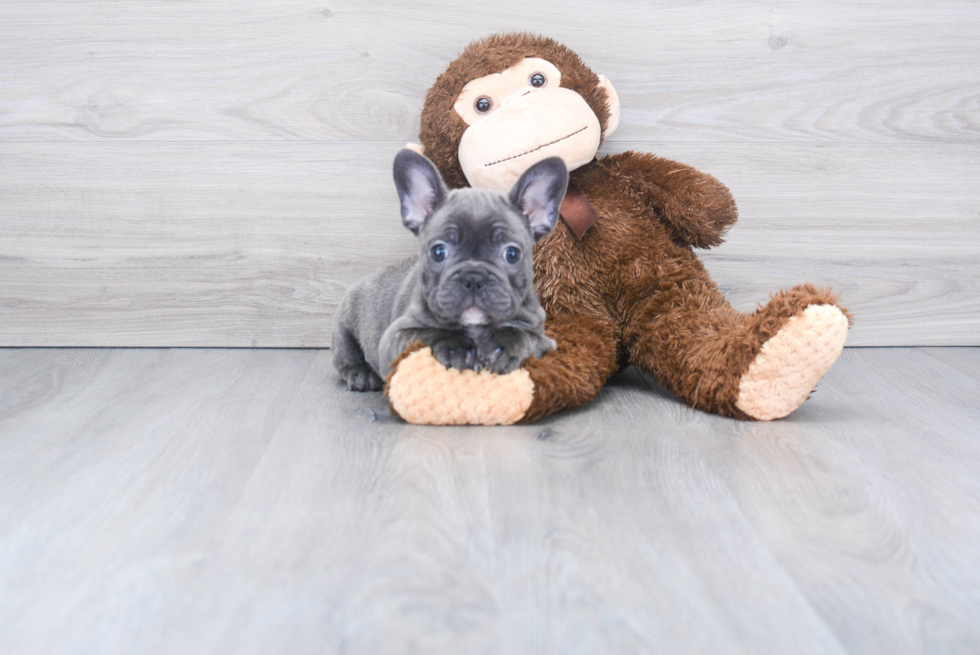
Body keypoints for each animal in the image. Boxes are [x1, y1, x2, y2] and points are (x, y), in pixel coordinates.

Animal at [334, 149, 572, 392]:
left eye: (512, 254)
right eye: (439, 252)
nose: (474, 277)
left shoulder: (545, 339)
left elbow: (523, 335)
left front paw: (503, 345)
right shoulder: (394, 337)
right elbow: (425, 333)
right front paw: (453, 346)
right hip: (343, 329)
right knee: (344, 360)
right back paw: (361, 374)